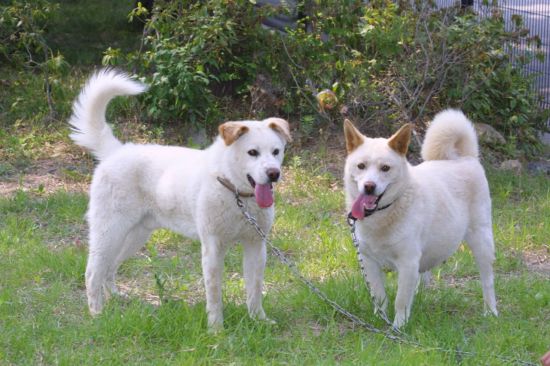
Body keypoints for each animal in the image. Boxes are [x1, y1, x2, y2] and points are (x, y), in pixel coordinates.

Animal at [69, 68, 294, 328]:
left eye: (276, 152)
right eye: (253, 152)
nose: (274, 173)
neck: (236, 195)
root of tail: (116, 151)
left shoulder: (256, 246)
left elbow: (254, 290)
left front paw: (258, 320)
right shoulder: (213, 249)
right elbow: (214, 295)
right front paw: (216, 328)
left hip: (135, 235)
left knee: (109, 267)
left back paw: (116, 298)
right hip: (109, 232)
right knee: (93, 272)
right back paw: (97, 313)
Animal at [344, 109, 500, 328]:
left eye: (385, 168)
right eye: (361, 166)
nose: (369, 186)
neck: (384, 214)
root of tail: (465, 157)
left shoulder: (408, 262)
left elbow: (400, 299)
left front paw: (398, 327)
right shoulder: (368, 261)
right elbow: (379, 296)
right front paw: (379, 320)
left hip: (481, 240)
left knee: (487, 280)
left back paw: (491, 311)